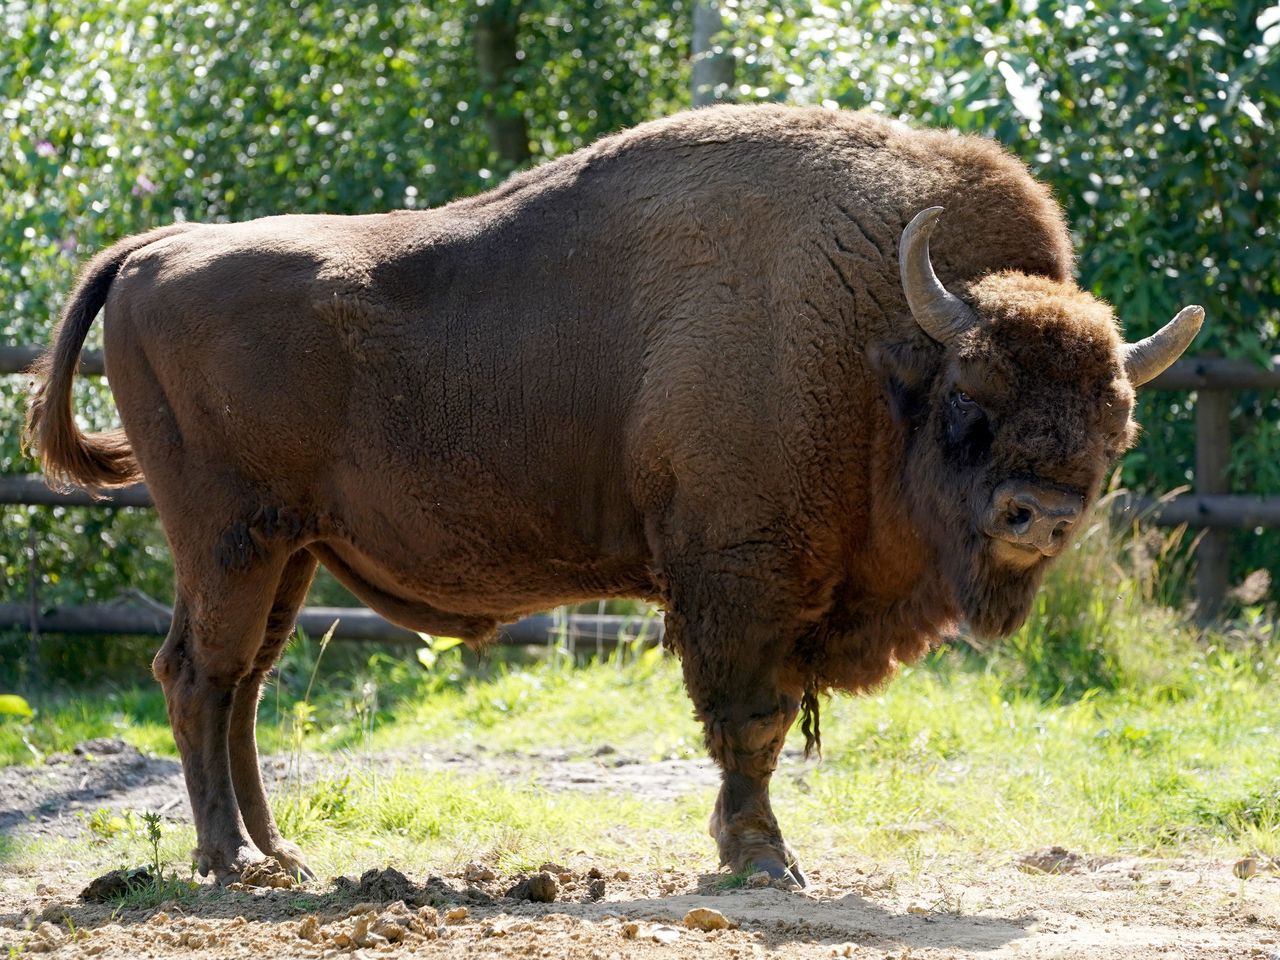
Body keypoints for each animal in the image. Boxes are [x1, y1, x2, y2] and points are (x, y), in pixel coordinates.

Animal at [22, 104, 1198, 885]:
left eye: (1117, 424)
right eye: (969, 401)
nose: (1039, 515)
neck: (877, 348)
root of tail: (158, 247)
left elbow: (759, 724)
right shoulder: (740, 579)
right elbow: (751, 719)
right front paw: (760, 860)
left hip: (289, 550)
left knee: (244, 687)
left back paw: (283, 851)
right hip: (229, 537)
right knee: (196, 675)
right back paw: (230, 862)